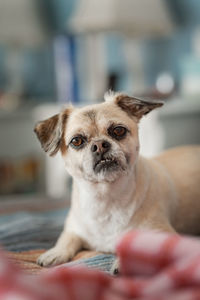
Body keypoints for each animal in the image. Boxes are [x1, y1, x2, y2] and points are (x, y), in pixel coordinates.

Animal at [34, 90, 200, 270]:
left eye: (118, 131)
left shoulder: (162, 234)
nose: (99, 145)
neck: (106, 198)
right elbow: (66, 239)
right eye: (76, 141)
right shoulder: (74, 230)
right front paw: (55, 252)